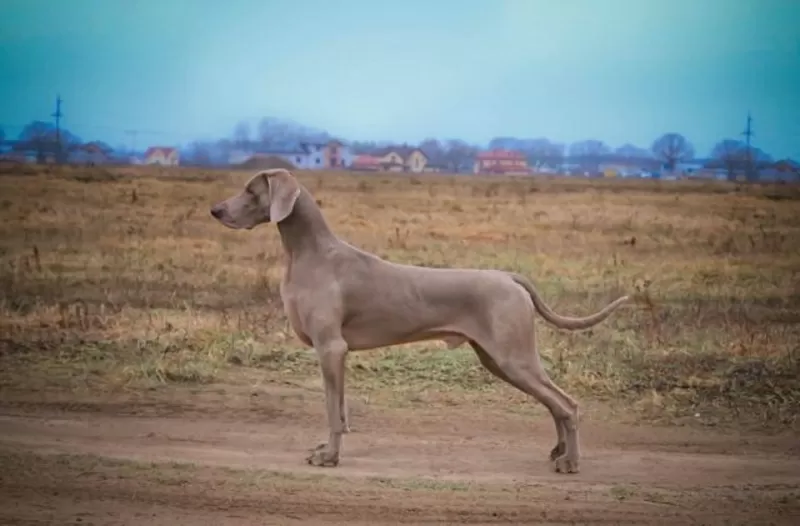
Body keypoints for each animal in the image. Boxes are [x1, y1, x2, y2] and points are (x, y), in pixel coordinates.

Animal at [208, 169, 632, 474]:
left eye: (251, 191)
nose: (215, 211)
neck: (308, 253)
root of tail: (510, 277)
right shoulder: (336, 354)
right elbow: (341, 410)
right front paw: (330, 448)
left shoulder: (331, 348)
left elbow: (331, 410)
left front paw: (328, 456)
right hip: (499, 360)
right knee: (555, 403)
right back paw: (559, 451)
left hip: (513, 357)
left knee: (566, 404)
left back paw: (571, 462)